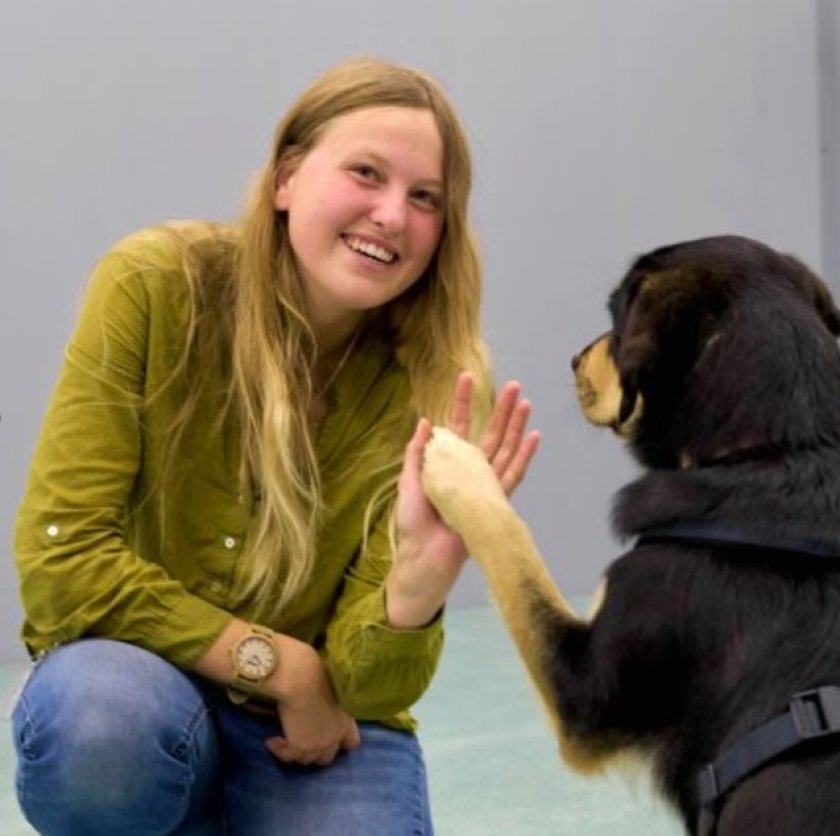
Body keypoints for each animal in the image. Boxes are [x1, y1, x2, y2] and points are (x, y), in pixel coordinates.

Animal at [426, 237, 840, 836]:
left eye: (616, 320)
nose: (574, 359)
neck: (780, 448)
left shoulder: (586, 692)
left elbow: (515, 549)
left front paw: (462, 467)